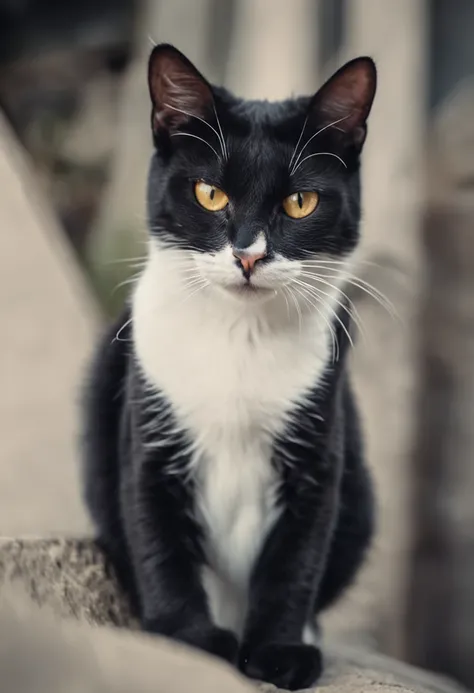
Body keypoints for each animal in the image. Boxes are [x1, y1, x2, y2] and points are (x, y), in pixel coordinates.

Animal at [81, 44, 378, 692]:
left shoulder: (319, 447)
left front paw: (279, 651)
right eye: (210, 194)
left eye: (300, 202)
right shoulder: (148, 433)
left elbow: (295, 561)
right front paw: (189, 642)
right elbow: (159, 543)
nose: (248, 254)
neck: (239, 338)